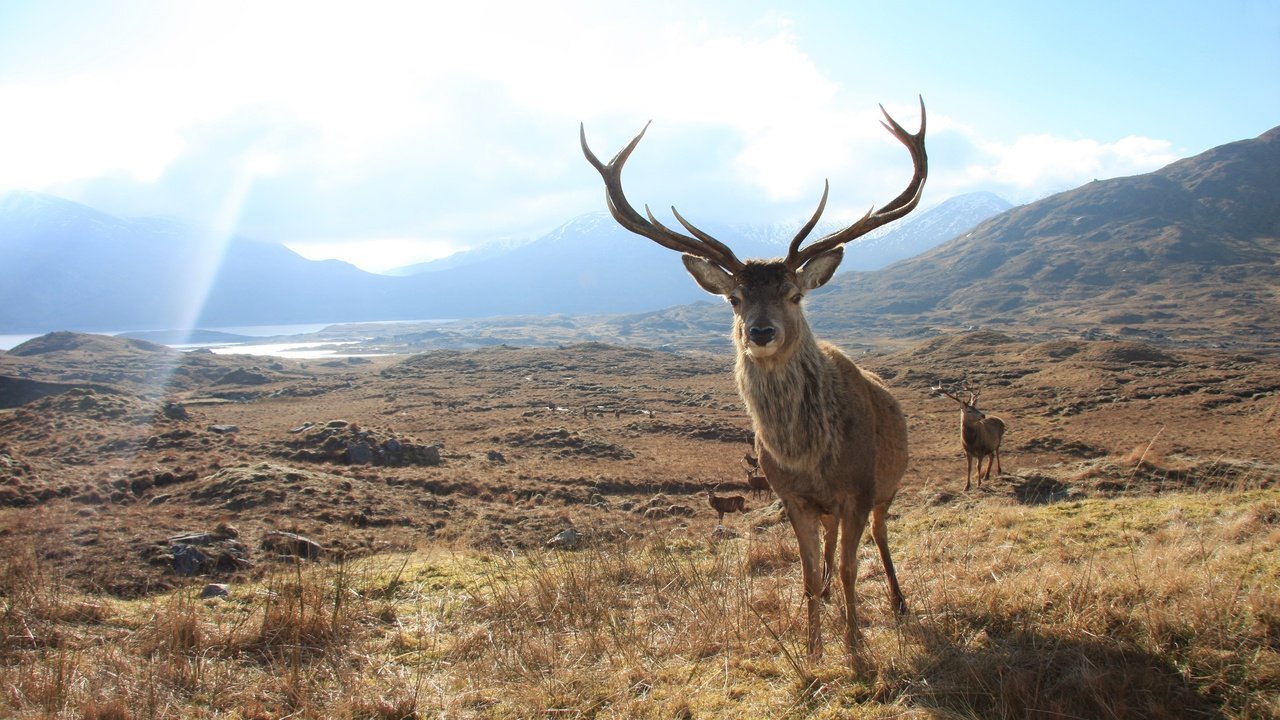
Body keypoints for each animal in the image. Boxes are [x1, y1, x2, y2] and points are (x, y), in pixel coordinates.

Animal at [586, 98, 926, 661]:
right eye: (734, 298)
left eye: (794, 293)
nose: (760, 332)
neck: (809, 456)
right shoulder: (791, 497)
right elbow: (807, 574)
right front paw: (813, 648)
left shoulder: (859, 488)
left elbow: (854, 569)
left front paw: (856, 646)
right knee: (830, 547)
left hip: (888, 486)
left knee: (880, 538)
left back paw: (898, 603)